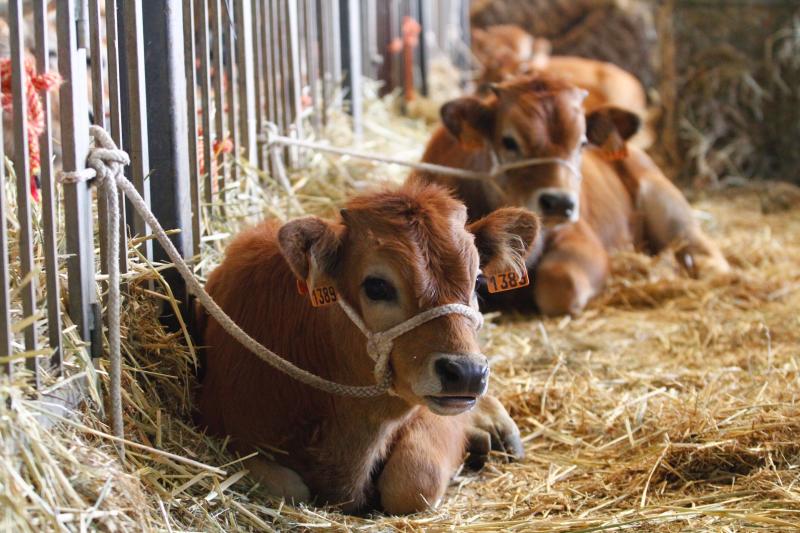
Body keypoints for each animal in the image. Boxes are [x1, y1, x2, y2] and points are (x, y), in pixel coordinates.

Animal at [410, 75, 728, 316]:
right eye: (509, 141)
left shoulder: (582, 239)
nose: (559, 202)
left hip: (669, 207)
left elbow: (561, 283)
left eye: (582, 143)